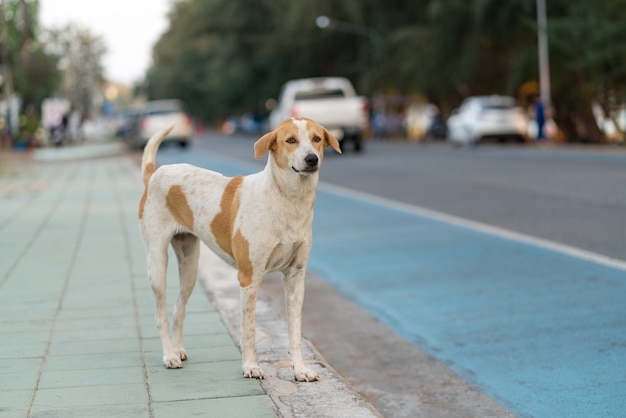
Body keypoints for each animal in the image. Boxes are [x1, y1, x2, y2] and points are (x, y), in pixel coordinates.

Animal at [138, 116, 338, 380]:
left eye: (316, 138)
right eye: (291, 140)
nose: (311, 158)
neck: (287, 201)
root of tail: (155, 174)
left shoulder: (296, 276)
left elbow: (295, 331)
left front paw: (300, 369)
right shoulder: (249, 278)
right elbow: (249, 330)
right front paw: (250, 366)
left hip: (189, 267)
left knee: (177, 309)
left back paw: (178, 349)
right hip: (157, 265)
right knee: (160, 314)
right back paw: (169, 356)